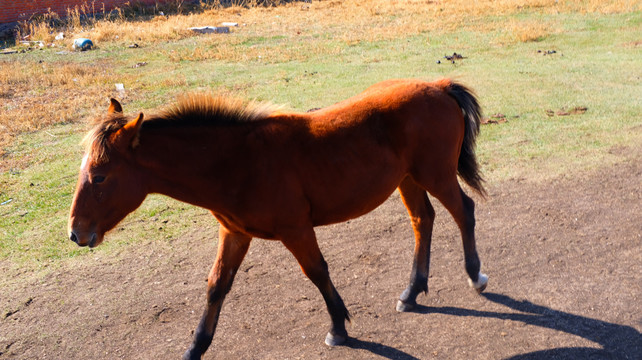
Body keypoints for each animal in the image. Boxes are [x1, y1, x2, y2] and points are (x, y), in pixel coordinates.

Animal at [67, 78, 488, 358]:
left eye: (100, 175)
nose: (75, 233)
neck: (238, 161)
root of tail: (439, 86)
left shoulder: (296, 230)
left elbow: (317, 272)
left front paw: (338, 329)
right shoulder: (234, 234)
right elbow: (216, 286)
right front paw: (194, 347)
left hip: (435, 175)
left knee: (463, 212)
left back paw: (474, 275)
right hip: (408, 180)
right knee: (423, 221)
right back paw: (412, 291)